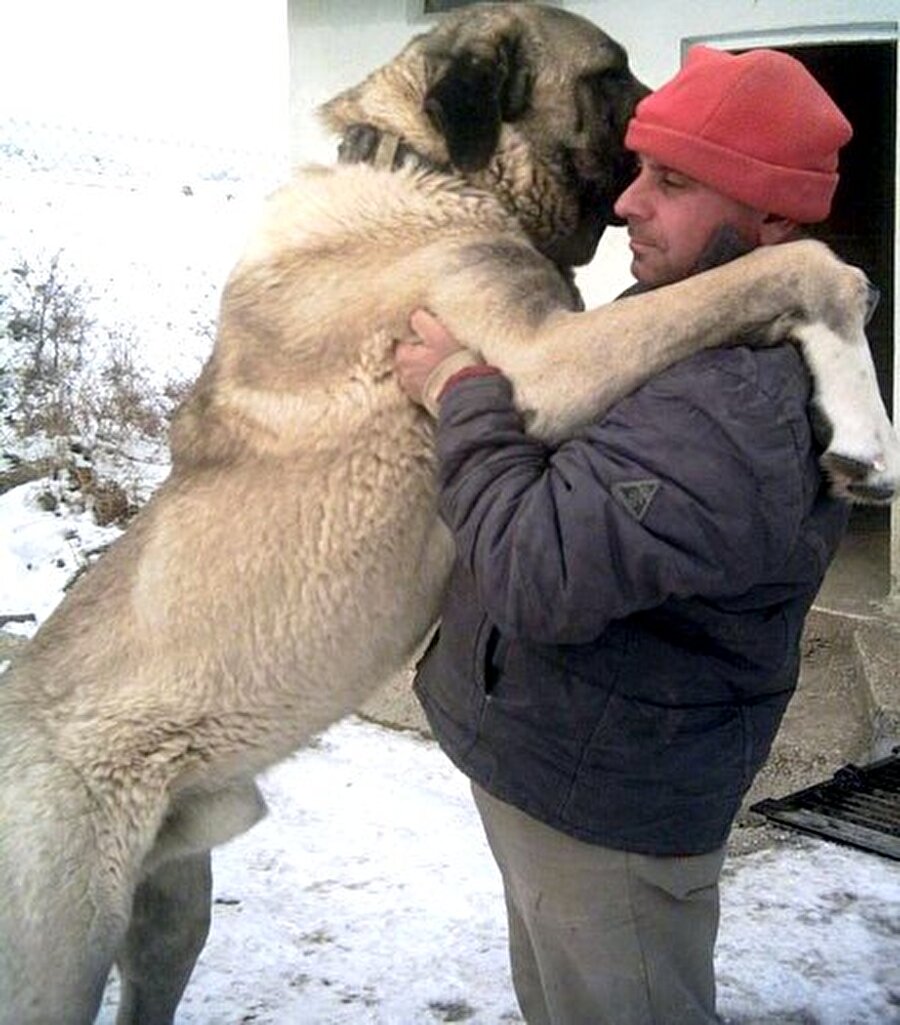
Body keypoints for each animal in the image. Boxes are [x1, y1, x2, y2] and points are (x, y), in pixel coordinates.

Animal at [1, 4, 900, 1020]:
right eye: (611, 76)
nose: (661, 136)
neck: (430, 168)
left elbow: (763, 287)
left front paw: (852, 422)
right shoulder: (546, 358)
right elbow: (790, 265)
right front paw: (871, 419)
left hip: (170, 916)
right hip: (62, 950)